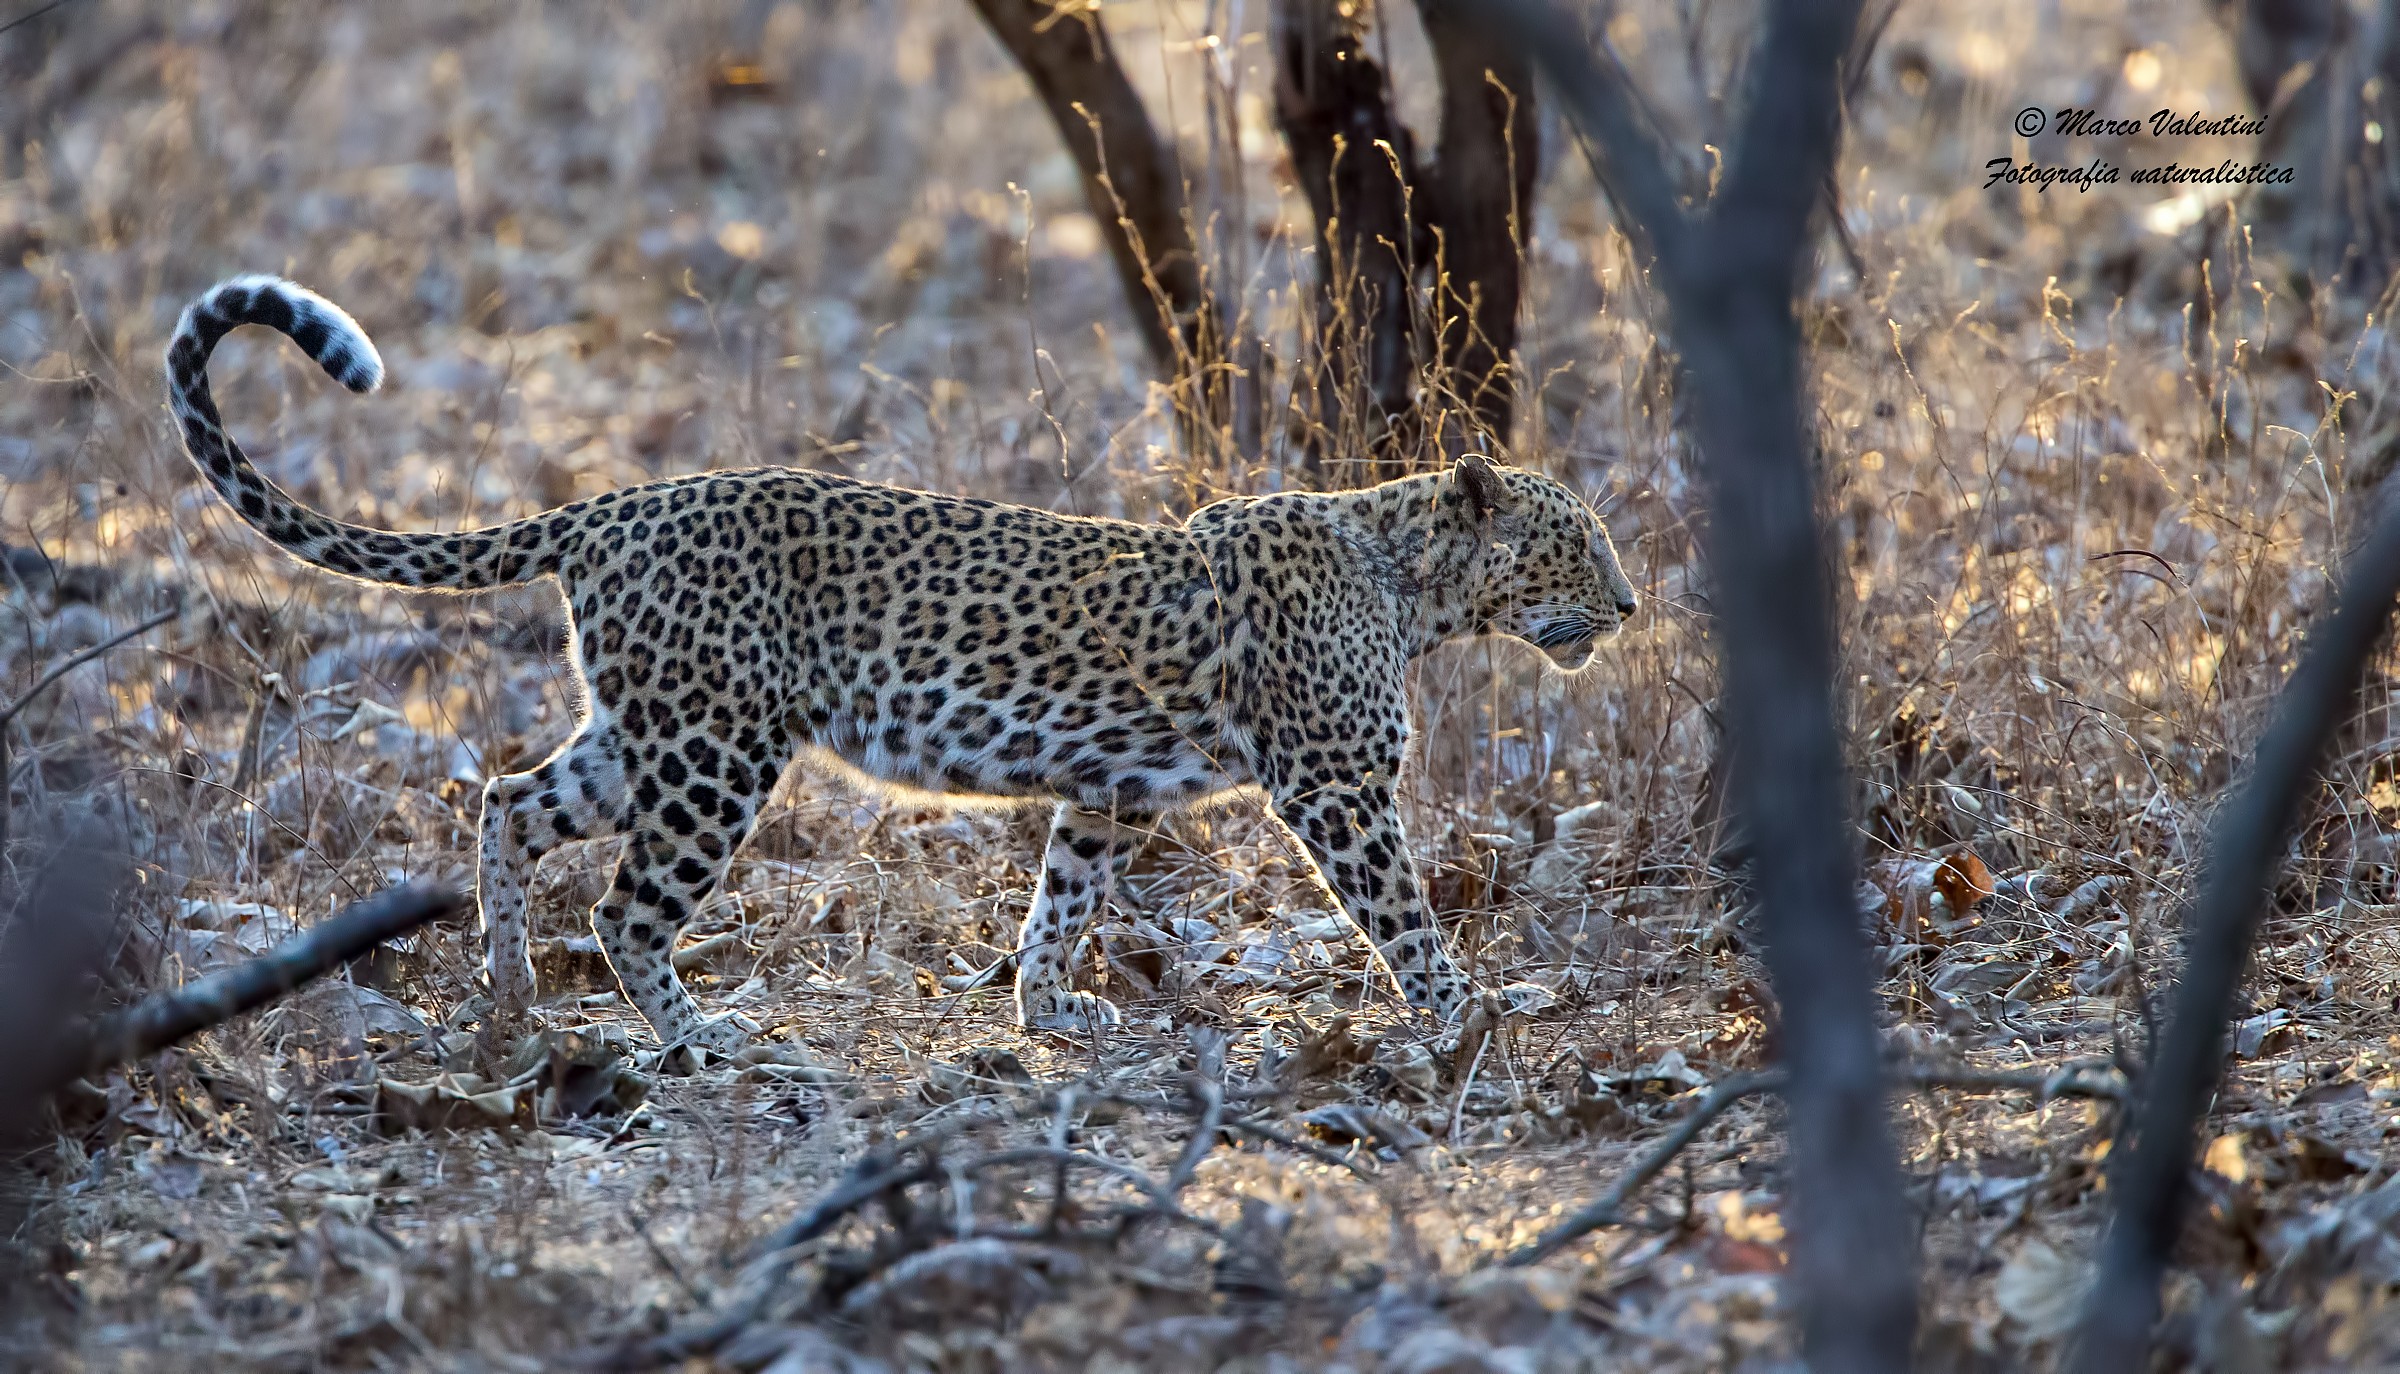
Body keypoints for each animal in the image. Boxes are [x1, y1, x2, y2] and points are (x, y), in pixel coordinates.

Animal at [166, 274, 1640, 1051]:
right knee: (629, 904)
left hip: (648, 732)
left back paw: (510, 991)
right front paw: (1464, 1009)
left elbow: (1060, 900)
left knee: (509, 800)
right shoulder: (1337, 786)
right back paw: (693, 1036)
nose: (1631, 605)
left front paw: (1050, 1013)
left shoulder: (1106, 793)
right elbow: (1399, 910)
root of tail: (610, 505)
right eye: (1577, 544)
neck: (1416, 584)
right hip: (712, 751)